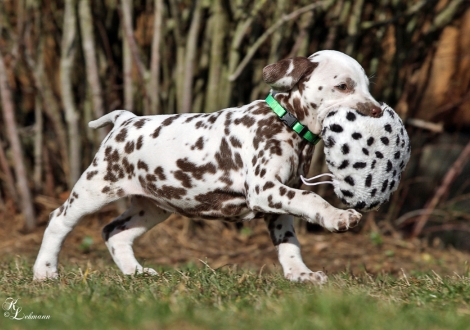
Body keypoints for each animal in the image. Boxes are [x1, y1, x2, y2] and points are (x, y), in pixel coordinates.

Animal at [34, 50, 386, 282]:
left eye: (367, 85)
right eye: (343, 86)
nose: (377, 111)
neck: (284, 123)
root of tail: (126, 120)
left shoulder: (281, 202)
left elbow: (289, 244)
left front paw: (301, 274)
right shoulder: (266, 189)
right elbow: (313, 198)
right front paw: (338, 217)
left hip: (153, 205)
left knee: (115, 232)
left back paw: (136, 273)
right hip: (96, 188)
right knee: (58, 221)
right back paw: (45, 272)